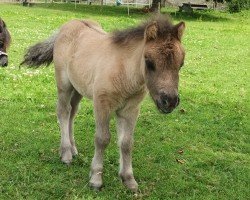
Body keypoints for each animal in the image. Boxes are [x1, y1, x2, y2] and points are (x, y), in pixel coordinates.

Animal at [22, 15, 186, 191]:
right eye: (149, 62)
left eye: (181, 64)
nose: (169, 101)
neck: (124, 73)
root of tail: (68, 25)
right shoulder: (102, 105)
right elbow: (102, 139)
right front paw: (96, 179)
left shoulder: (130, 110)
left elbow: (127, 143)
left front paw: (128, 179)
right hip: (64, 85)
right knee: (63, 111)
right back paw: (66, 153)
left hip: (78, 88)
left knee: (72, 112)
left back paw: (73, 149)